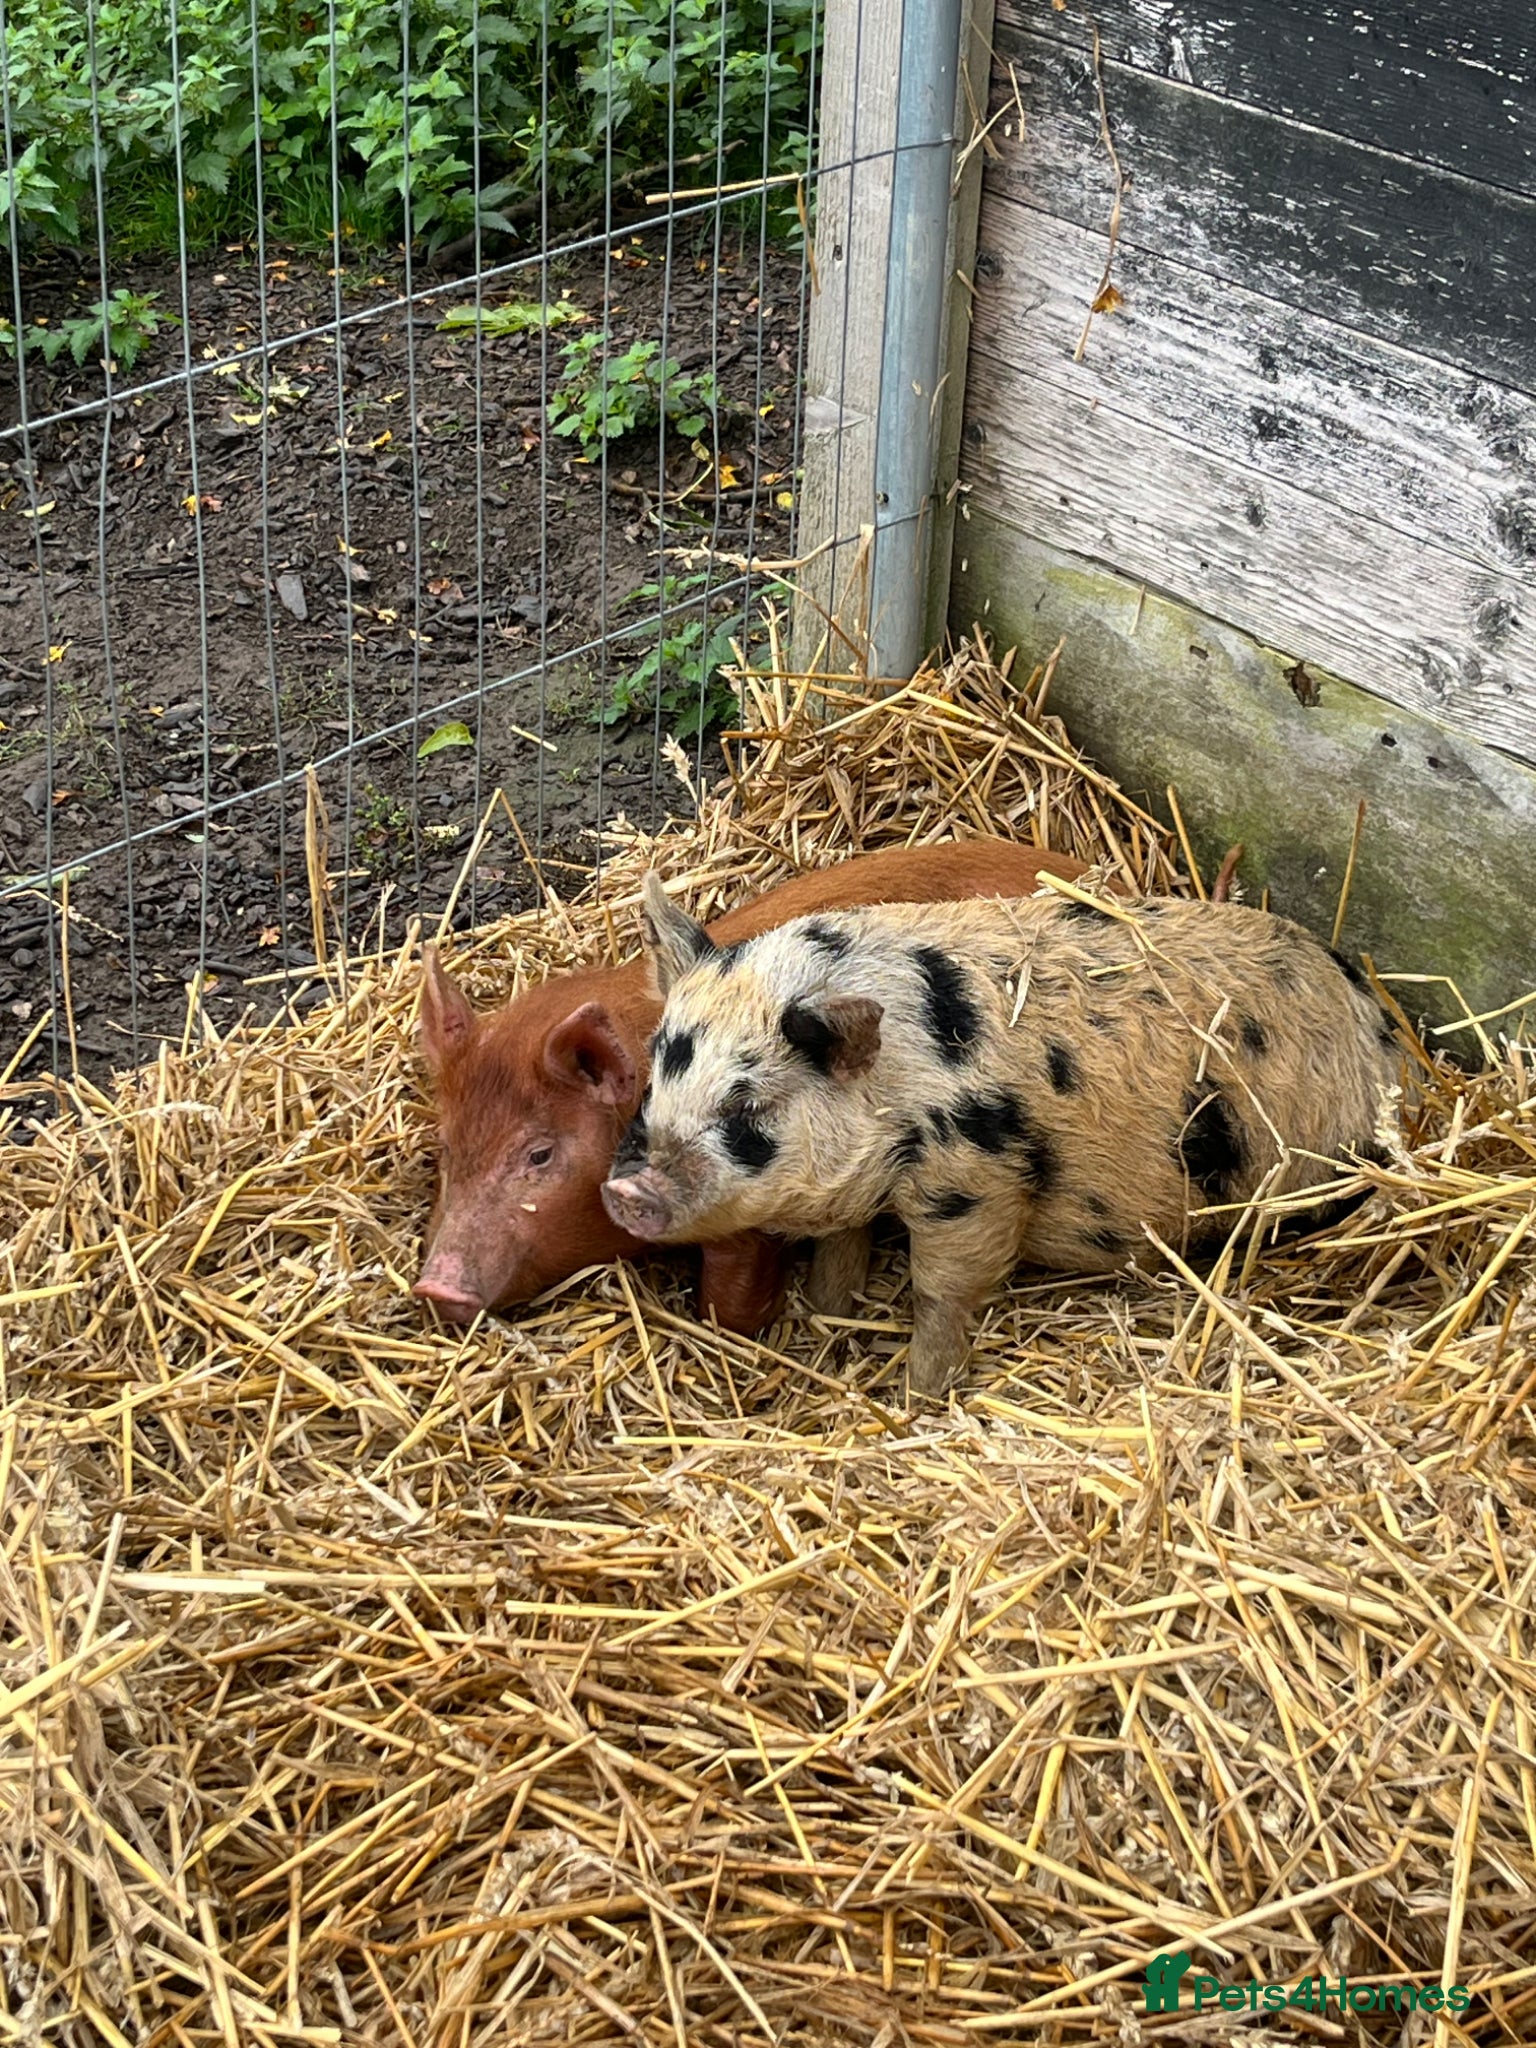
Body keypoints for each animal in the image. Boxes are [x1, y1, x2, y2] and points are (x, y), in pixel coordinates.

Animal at [601, 875, 1397, 1395]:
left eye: (747, 1108)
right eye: (654, 1083)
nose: (624, 1190)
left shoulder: (975, 1179)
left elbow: (942, 1291)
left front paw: (918, 1397)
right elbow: (841, 1253)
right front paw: (828, 1318)